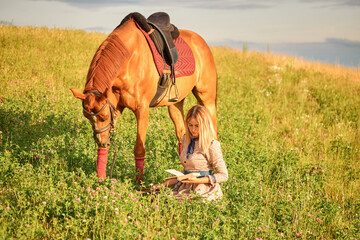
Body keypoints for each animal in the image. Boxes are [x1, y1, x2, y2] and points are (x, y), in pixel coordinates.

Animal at [69, 12, 217, 182]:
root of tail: (202, 42)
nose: (101, 141)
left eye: (103, 116)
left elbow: (139, 148)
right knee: (182, 134)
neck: (129, 59)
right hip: (175, 104)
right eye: (87, 117)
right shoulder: (116, 109)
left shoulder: (142, 110)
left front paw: (138, 182)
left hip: (207, 99)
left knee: (213, 132)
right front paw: (101, 179)